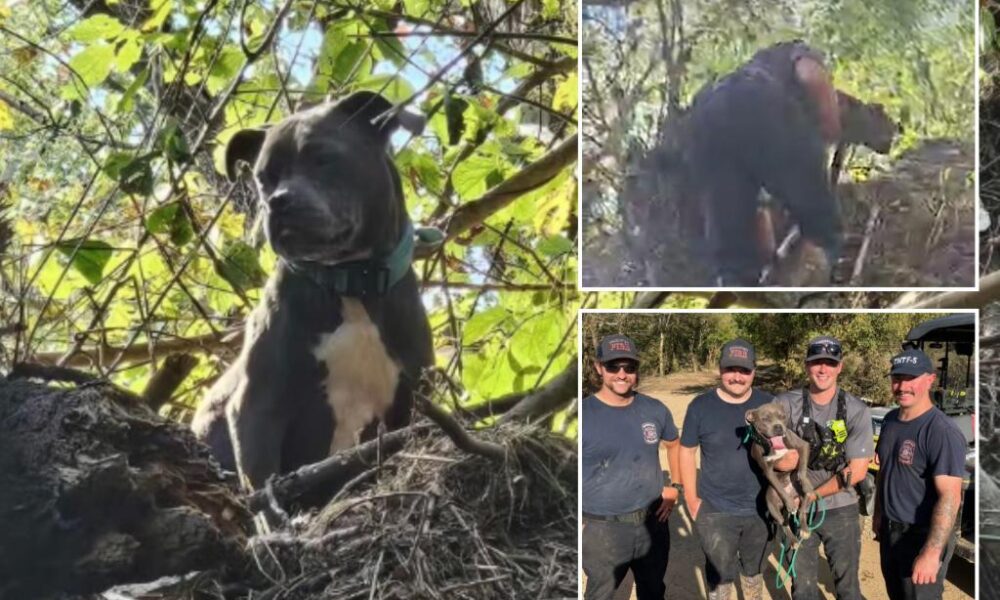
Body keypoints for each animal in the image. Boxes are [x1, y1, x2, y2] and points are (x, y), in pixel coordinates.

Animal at [748, 400, 816, 548]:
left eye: (783, 417)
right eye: (765, 419)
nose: (779, 427)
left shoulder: (802, 446)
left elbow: (801, 470)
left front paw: (804, 481)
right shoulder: (768, 470)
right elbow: (778, 486)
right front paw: (789, 502)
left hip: (802, 494)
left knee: (802, 510)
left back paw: (804, 529)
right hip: (771, 503)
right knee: (784, 525)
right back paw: (794, 541)